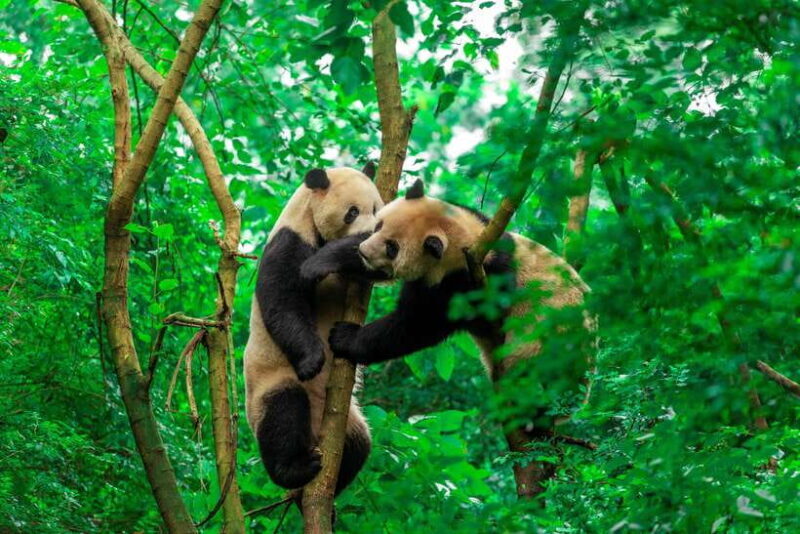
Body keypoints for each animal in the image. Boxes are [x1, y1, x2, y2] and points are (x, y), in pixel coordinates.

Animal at [244, 165, 383, 494]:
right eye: (352, 212)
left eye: (376, 209)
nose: (372, 233)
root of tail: (317, 432)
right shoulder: (290, 240)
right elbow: (283, 299)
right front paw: (313, 360)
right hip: (271, 382)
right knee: (283, 412)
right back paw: (296, 470)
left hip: (349, 420)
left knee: (360, 444)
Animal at [300, 179, 594, 497]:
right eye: (379, 226)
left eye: (392, 248)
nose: (365, 251)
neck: (467, 241)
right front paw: (325, 261)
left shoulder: (470, 284)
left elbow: (417, 325)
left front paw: (345, 336)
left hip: (545, 345)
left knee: (527, 376)